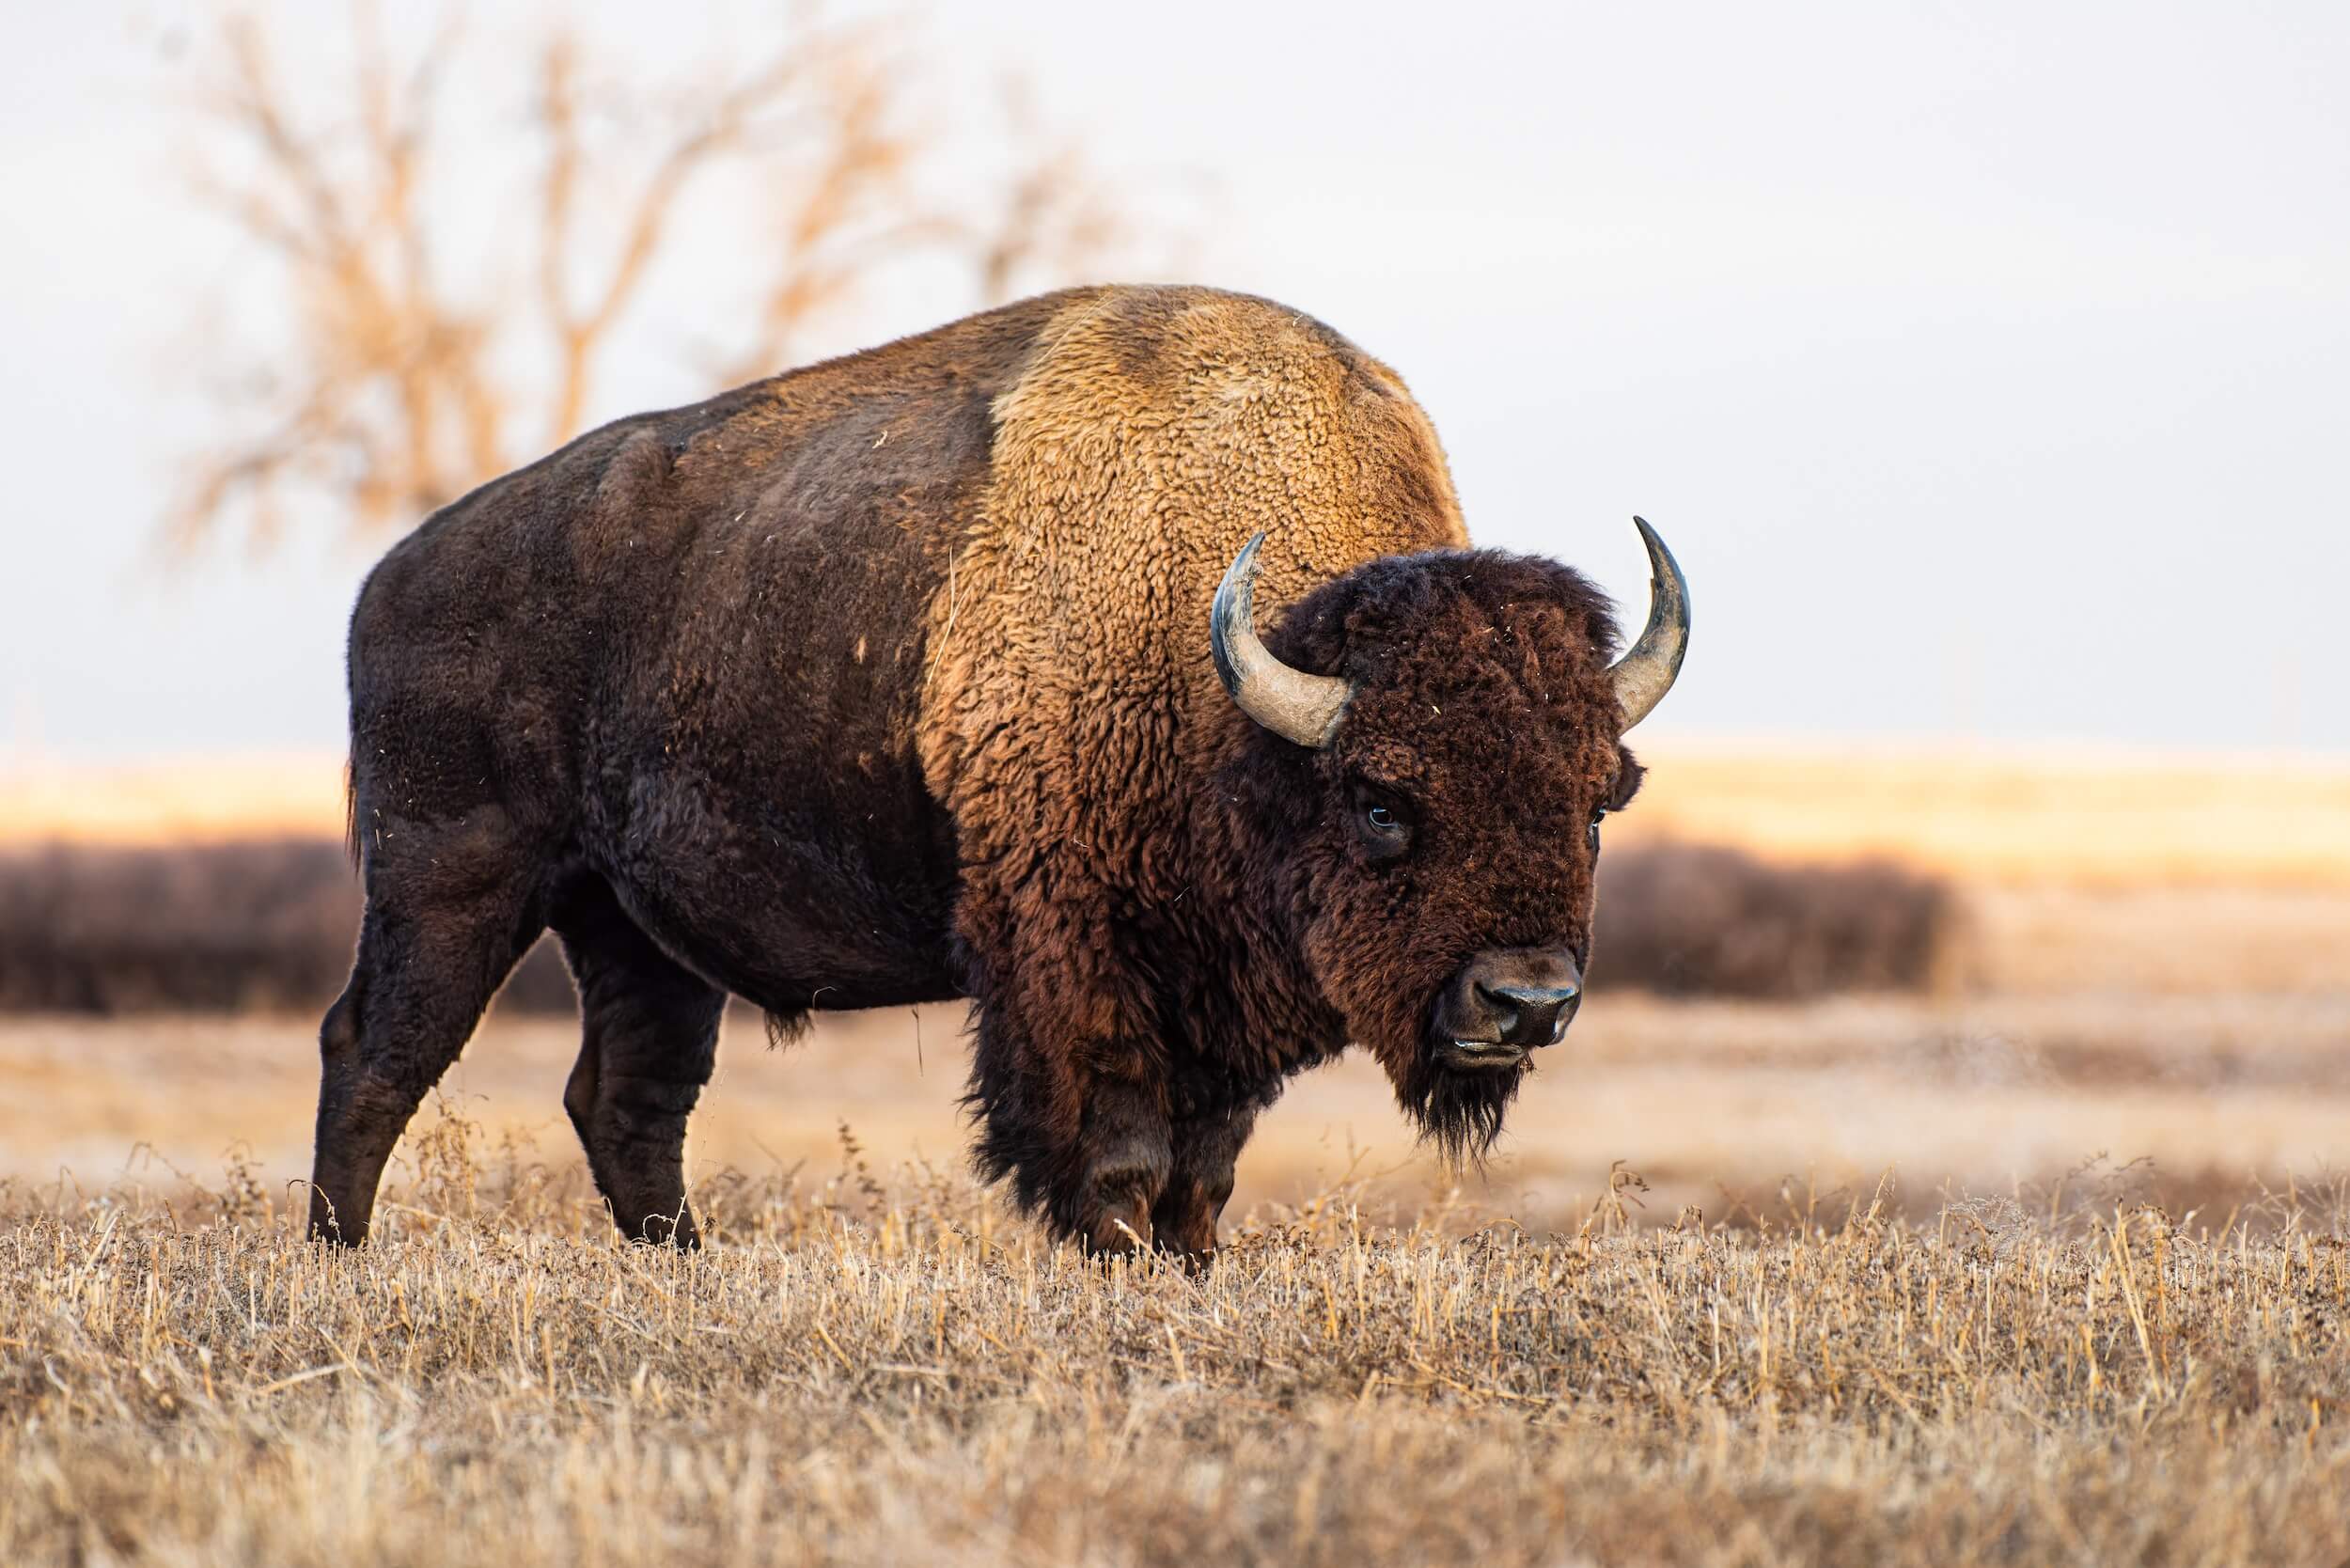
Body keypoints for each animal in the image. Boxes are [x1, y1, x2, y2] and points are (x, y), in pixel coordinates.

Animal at [307, 285, 1688, 1259]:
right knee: (376, 1049)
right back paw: (342, 1258)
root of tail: (392, 575)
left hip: (635, 932)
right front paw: (1120, 1259)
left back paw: (682, 1264)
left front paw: (1189, 1266)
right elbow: (1120, 1146)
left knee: (627, 1098)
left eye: (1594, 802)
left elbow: (1206, 1162)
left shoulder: (1219, 994)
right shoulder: (1073, 958)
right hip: (453, 881)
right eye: (1385, 801)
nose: (1524, 1004)